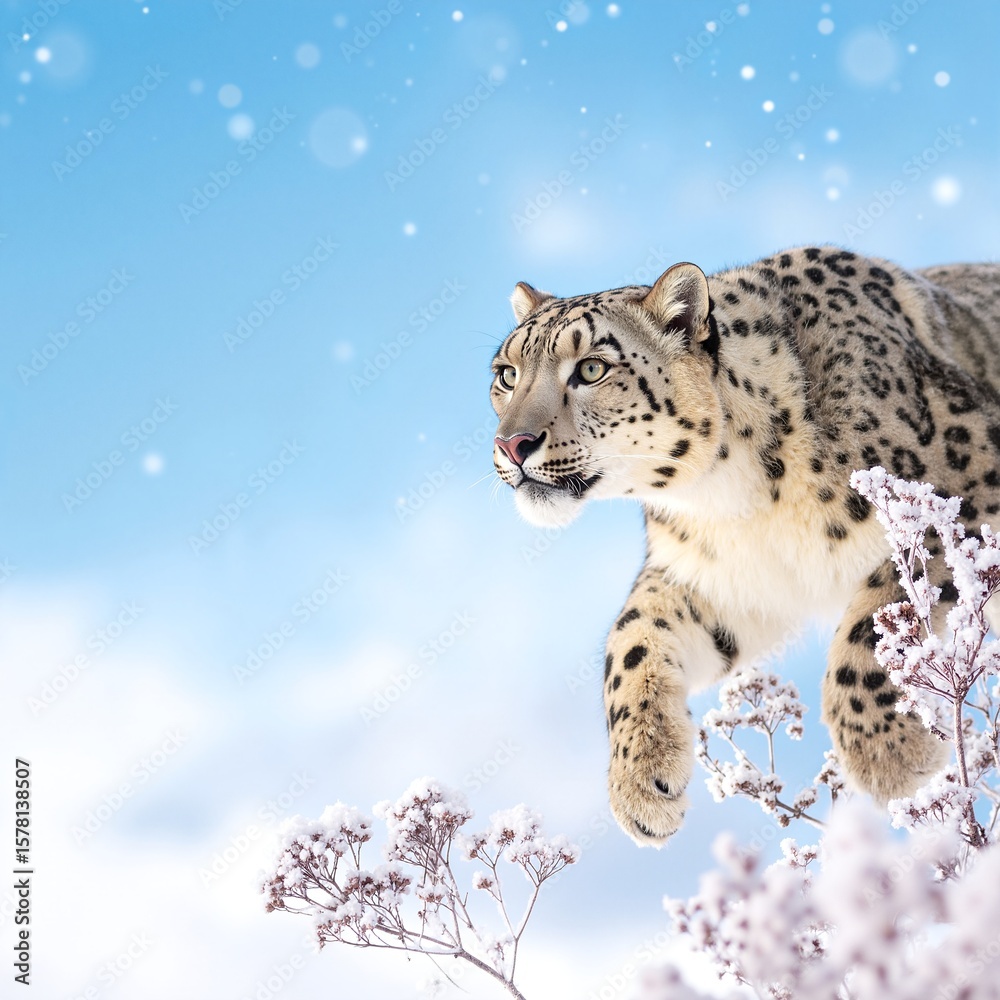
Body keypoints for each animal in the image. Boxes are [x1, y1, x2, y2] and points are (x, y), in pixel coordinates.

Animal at [488, 245, 1000, 846]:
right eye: (506, 374)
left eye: (592, 368)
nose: (512, 443)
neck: (740, 500)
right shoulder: (713, 578)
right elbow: (631, 638)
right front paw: (641, 781)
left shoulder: (961, 500)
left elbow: (878, 614)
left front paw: (890, 757)